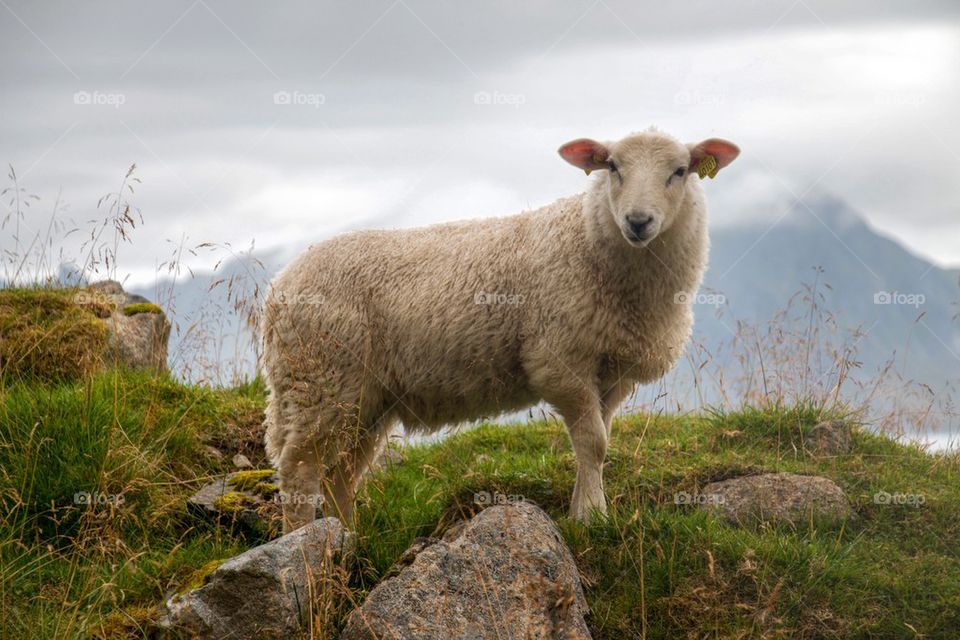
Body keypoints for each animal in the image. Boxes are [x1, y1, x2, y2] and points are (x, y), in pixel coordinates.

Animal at [258, 129, 740, 528]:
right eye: (613, 167)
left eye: (680, 171)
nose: (638, 222)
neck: (589, 241)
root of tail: (282, 284)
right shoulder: (559, 360)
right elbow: (591, 441)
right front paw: (591, 518)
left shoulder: (612, 371)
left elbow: (599, 445)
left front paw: (584, 511)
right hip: (320, 377)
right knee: (300, 468)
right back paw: (303, 548)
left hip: (365, 397)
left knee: (341, 473)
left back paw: (345, 542)